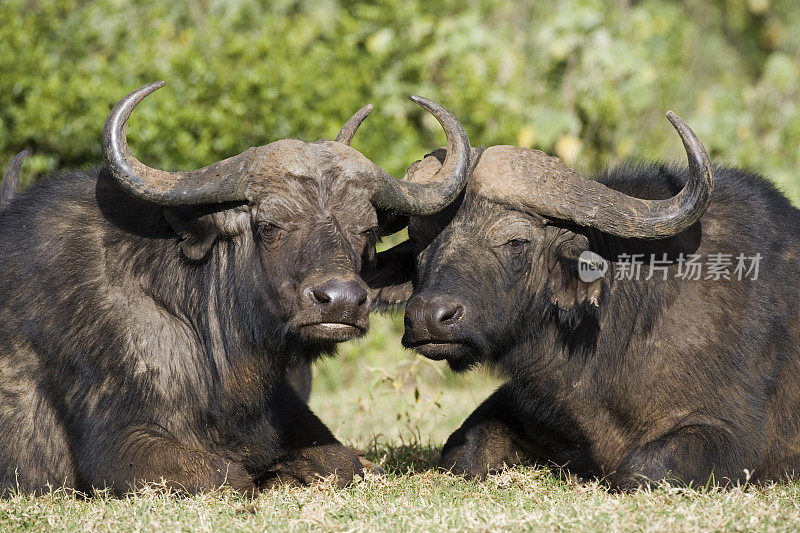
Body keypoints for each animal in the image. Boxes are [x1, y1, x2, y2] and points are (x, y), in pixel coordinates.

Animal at [0, 83, 468, 494]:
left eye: (366, 230)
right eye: (269, 225)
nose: (341, 301)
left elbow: (342, 462)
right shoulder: (117, 446)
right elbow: (230, 477)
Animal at [390, 112, 800, 490]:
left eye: (515, 241)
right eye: (418, 240)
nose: (428, 316)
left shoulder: (732, 437)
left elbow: (643, 469)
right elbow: (463, 449)